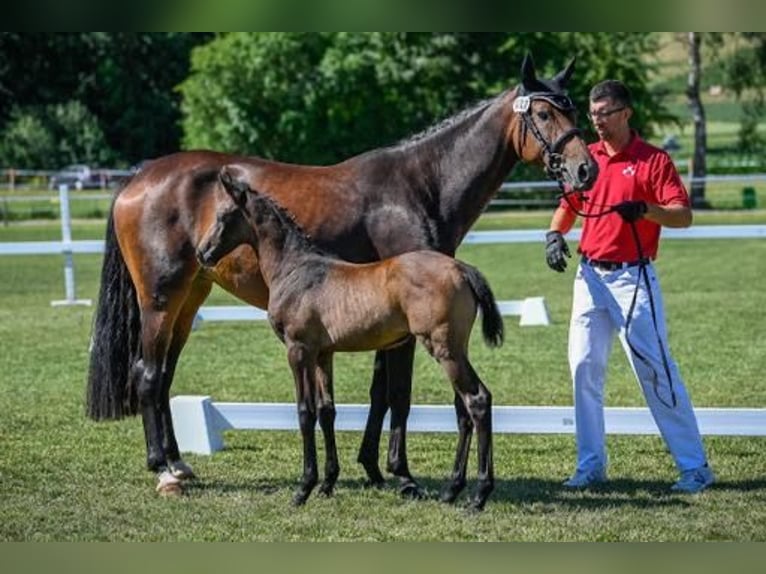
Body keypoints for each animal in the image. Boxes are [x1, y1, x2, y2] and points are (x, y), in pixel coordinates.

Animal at [197, 167, 504, 509]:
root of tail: (462, 268)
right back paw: (452, 490)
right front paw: (327, 483)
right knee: (464, 409)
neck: (296, 269)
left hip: (444, 349)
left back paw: (479, 495)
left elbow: (305, 412)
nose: (202, 253)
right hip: (454, 350)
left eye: (224, 216)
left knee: (476, 400)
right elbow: (326, 411)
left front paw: (304, 488)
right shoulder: (323, 354)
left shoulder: (298, 350)